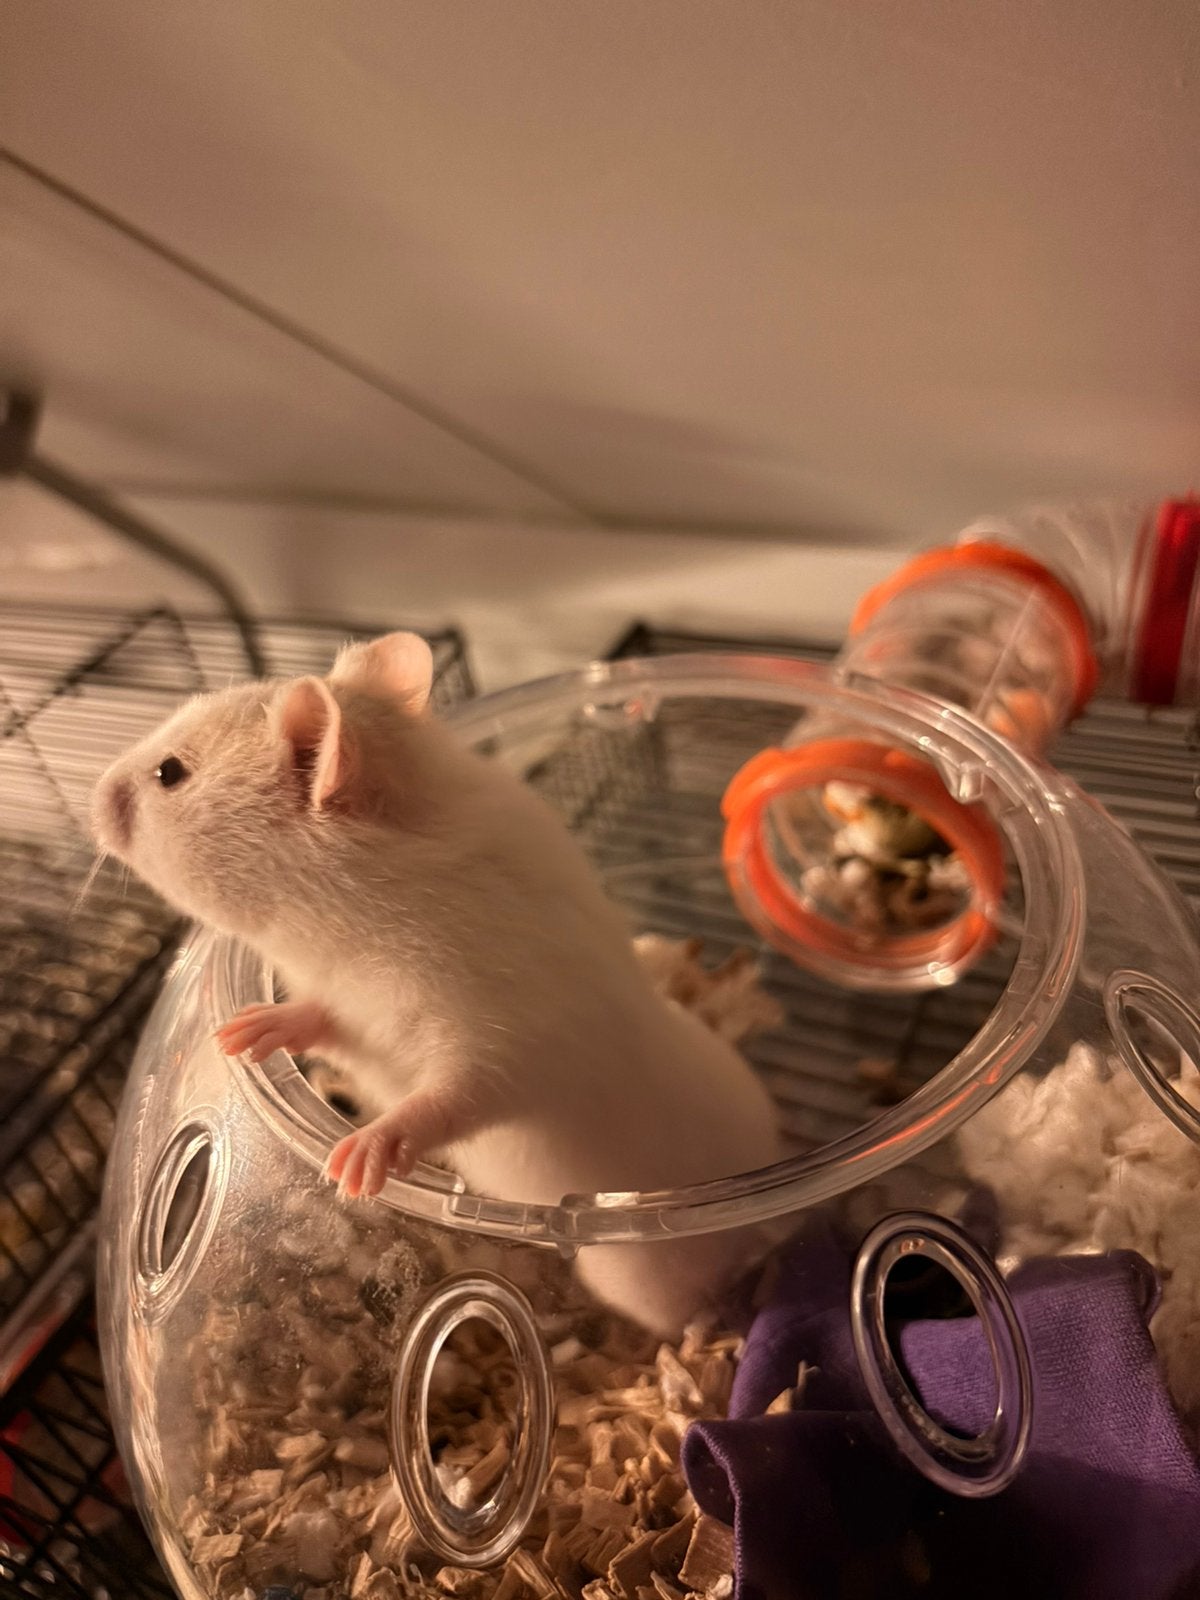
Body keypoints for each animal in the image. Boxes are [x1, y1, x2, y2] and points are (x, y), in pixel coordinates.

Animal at [91, 633, 782, 1335]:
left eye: (170, 773)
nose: (93, 795)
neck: (341, 916)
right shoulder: (356, 1016)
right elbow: (322, 1021)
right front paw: (243, 1032)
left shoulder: (505, 1044)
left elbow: (446, 1100)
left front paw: (354, 1164)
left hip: (643, 1277)